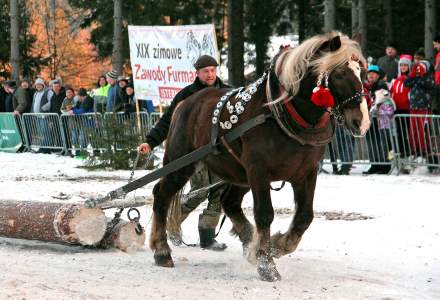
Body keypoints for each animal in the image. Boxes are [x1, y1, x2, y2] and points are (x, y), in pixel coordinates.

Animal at [150, 32, 370, 282]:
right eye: (340, 74)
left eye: (362, 73)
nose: (362, 122)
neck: (282, 114)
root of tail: (184, 103)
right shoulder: (259, 169)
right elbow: (265, 214)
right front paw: (267, 264)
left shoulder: (306, 172)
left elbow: (304, 217)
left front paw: (276, 246)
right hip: (182, 165)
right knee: (162, 194)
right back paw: (161, 251)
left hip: (239, 174)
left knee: (229, 202)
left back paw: (250, 244)